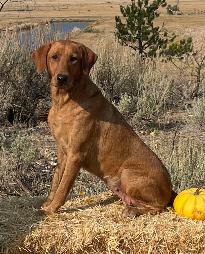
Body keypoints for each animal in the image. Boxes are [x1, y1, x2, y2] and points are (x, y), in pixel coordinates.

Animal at [31, 39, 175, 216]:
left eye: (74, 59)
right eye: (54, 57)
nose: (61, 78)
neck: (63, 102)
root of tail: (171, 189)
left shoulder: (76, 155)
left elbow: (63, 187)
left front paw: (52, 209)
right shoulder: (62, 151)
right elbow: (56, 180)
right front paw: (47, 203)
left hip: (127, 173)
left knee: (158, 207)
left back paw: (132, 211)